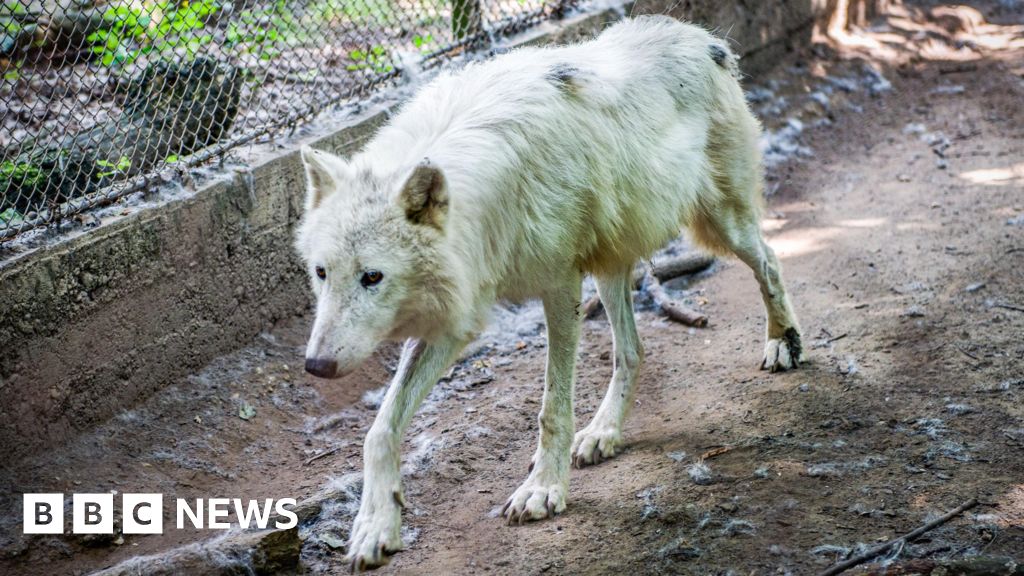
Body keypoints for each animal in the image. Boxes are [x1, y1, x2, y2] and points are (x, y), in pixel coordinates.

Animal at [294, 15, 798, 565]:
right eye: (321, 273)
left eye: (372, 277)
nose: (316, 366)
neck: (488, 200)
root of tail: (701, 38)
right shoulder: (458, 312)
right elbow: (380, 429)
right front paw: (375, 525)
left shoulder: (559, 283)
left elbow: (551, 408)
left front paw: (542, 489)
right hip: (610, 264)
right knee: (632, 350)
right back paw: (604, 433)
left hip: (720, 226)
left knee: (770, 261)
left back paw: (783, 342)